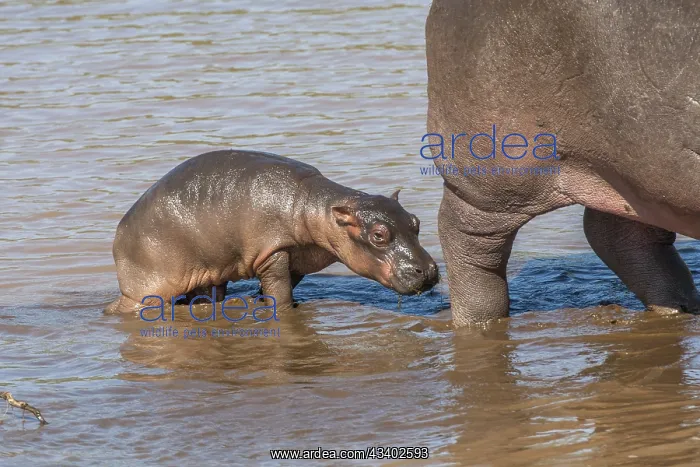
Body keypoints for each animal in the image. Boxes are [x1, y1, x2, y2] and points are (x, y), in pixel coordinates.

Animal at [106, 150, 439, 314]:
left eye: (416, 222)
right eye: (379, 235)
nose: (428, 270)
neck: (315, 208)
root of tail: (120, 232)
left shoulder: (299, 255)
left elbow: (285, 284)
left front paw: (260, 298)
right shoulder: (273, 251)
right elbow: (279, 290)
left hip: (210, 270)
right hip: (147, 287)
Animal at [425, 0, 700, 325]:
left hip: (631, 173)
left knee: (622, 236)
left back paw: (679, 308)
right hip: (495, 178)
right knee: (470, 242)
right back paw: (479, 321)